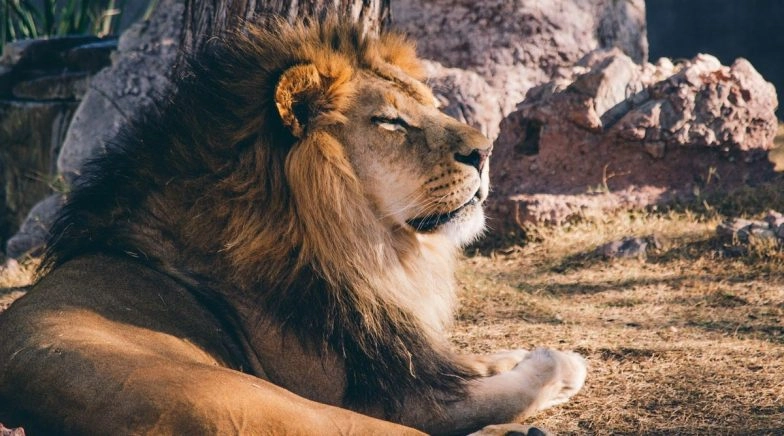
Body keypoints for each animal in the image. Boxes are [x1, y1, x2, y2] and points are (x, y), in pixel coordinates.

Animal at [0, 20, 586, 435]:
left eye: (431, 107)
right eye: (390, 121)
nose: (486, 152)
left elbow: (465, 361)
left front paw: (512, 355)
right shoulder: (384, 396)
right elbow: (494, 391)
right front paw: (555, 364)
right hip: (264, 403)